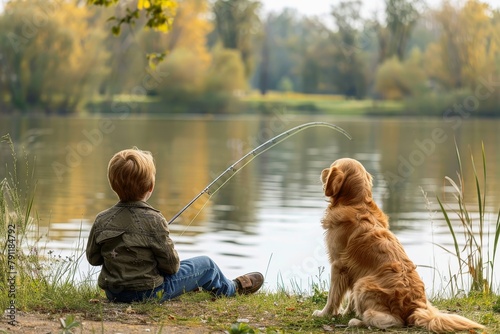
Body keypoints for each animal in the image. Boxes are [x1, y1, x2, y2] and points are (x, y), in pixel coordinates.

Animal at [312, 158, 484, 332]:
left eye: (331, 167)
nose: (322, 171)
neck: (355, 203)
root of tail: (414, 308)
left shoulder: (338, 265)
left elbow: (332, 296)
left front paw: (324, 313)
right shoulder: (354, 269)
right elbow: (351, 298)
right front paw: (348, 311)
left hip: (363, 283)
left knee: (390, 320)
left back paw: (357, 321)